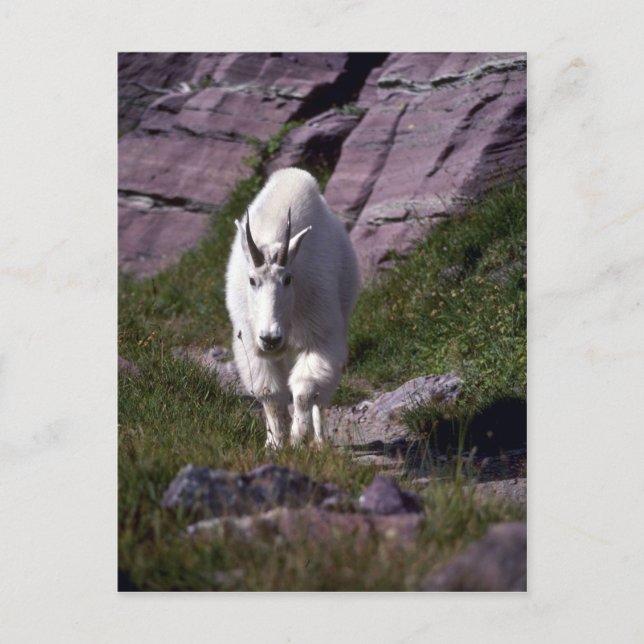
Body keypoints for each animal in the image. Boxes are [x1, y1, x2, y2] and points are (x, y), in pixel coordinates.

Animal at [225, 168, 359, 447]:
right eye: (252, 280)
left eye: (288, 279)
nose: (270, 338)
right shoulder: (251, 343)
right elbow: (270, 394)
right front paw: (276, 443)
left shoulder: (320, 336)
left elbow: (305, 392)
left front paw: (298, 437)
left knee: (321, 396)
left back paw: (319, 441)